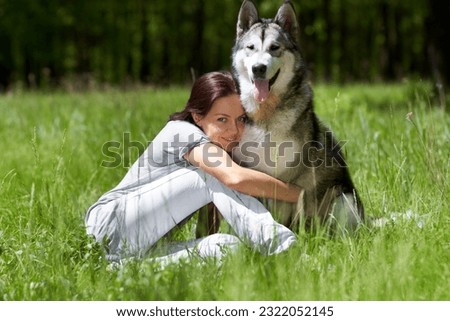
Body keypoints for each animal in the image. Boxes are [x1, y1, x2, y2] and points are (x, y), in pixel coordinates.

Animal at [230, 0, 364, 230]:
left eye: (275, 48)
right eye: (251, 48)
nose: (258, 68)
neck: (267, 114)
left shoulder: (294, 180)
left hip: (343, 199)